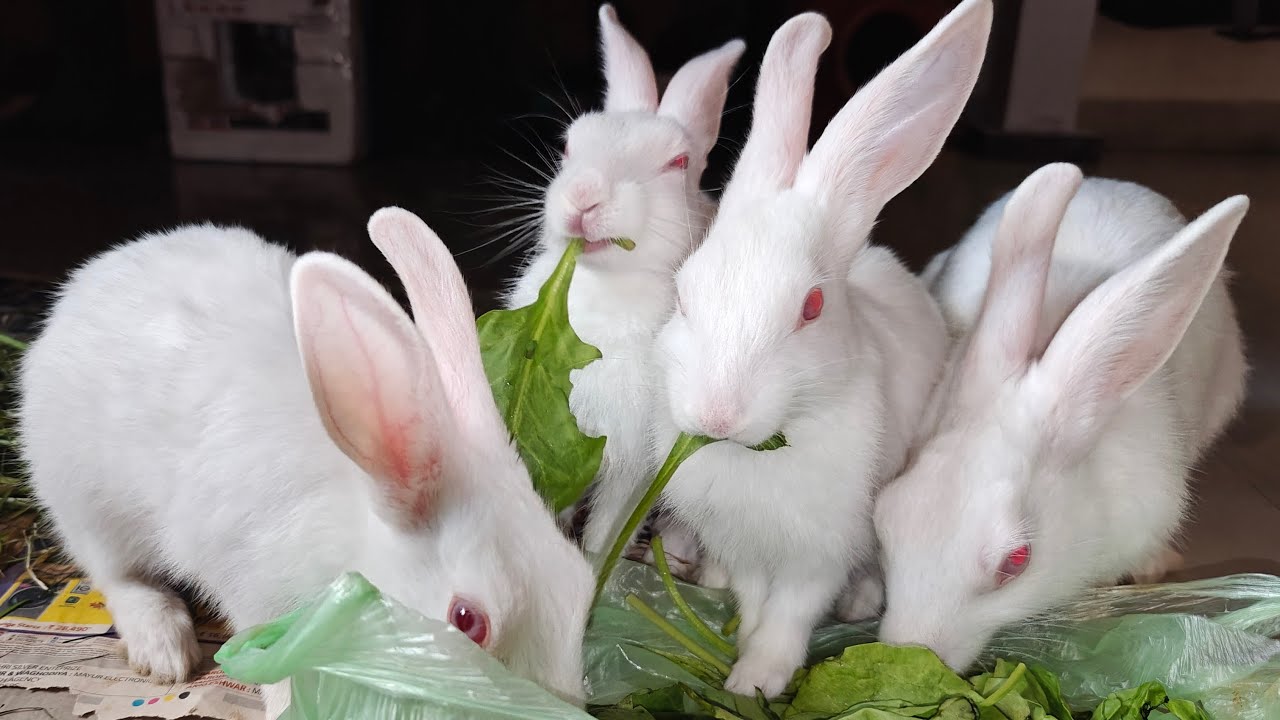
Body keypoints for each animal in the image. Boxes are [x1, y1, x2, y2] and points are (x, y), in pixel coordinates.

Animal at [17, 208, 596, 717]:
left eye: (583, 580)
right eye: (466, 621)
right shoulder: (255, 590)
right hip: (85, 501)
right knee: (114, 574)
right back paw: (162, 645)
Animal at [505, 5, 746, 562]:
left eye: (677, 163)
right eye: (568, 146)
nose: (584, 196)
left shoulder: (634, 466)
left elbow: (606, 530)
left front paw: (595, 570)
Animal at [650, 0, 992, 697]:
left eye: (811, 307)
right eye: (683, 292)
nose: (717, 415)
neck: (762, 450)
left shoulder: (821, 555)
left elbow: (791, 613)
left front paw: (757, 680)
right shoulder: (744, 546)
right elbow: (756, 599)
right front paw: (743, 663)